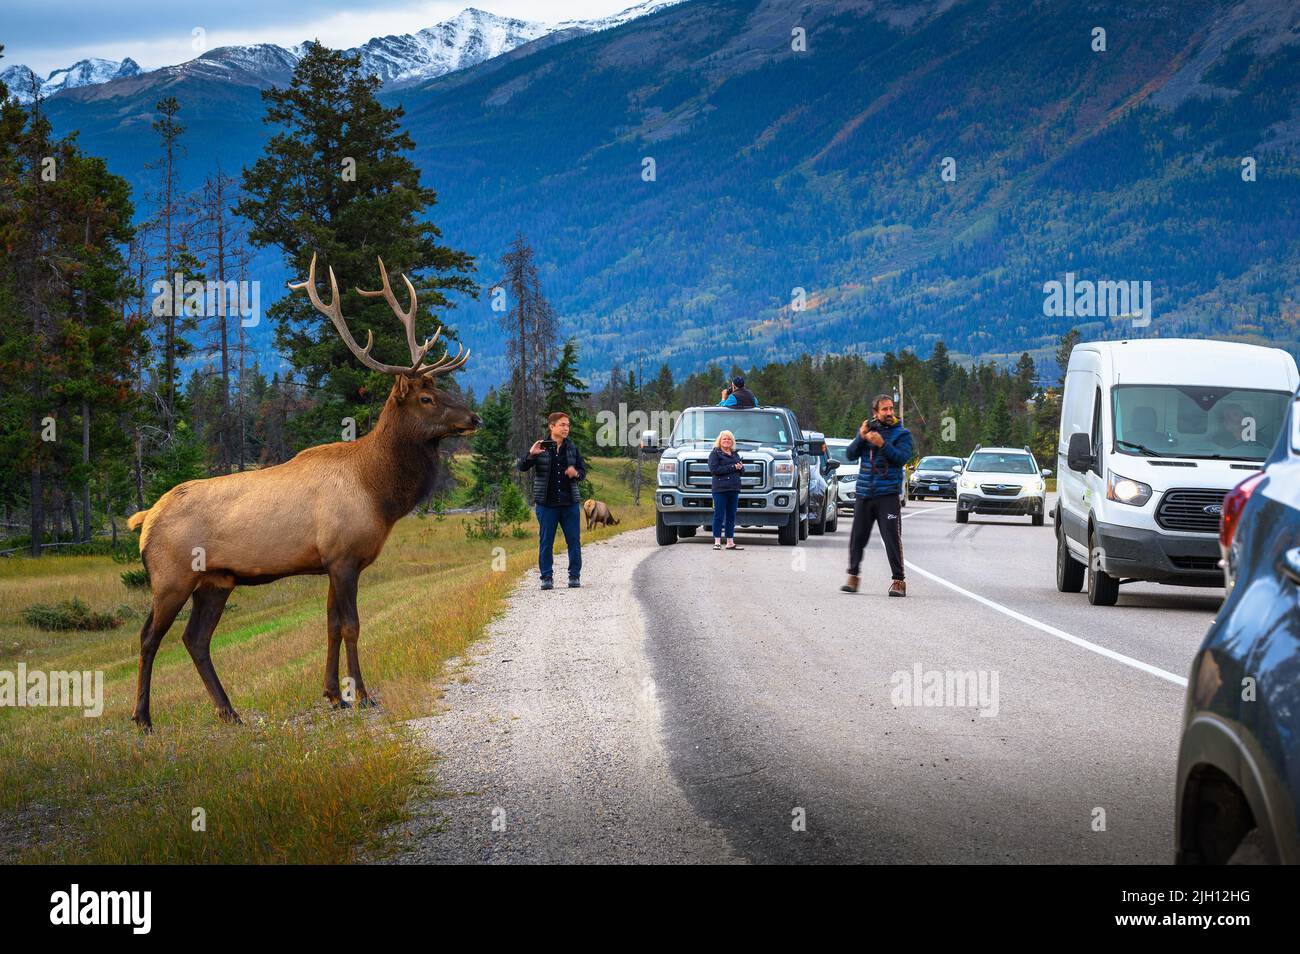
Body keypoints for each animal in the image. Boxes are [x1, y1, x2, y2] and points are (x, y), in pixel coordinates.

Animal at [124, 254, 480, 733]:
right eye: (426, 397)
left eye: (442, 389)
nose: (475, 417)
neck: (379, 492)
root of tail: (144, 520)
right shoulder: (343, 557)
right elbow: (351, 625)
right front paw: (361, 695)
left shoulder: (332, 562)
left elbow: (329, 625)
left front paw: (332, 695)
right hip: (170, 576)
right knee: (149, 637)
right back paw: (143, 718)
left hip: (215, 582)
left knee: (195, 639)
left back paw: (230, 711)